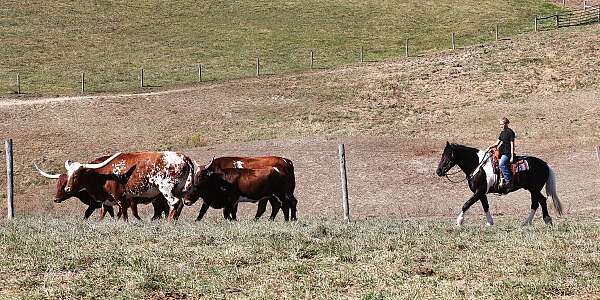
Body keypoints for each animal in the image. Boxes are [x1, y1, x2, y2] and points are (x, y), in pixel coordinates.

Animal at [63, 152, 195, 220]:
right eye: (68, 174)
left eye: (77, 174)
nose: (67, 189)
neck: (103, 175)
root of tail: (184, 157)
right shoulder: (108, 201)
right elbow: (104, 214)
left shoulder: (120, 198)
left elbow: (124, 215)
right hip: (180, 189)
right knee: (179, 204)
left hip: (166, 189)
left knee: (174, 203)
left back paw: (169, 222)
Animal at [436, 142, 564, 225]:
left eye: (447, 156)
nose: (438, 171)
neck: (477, 165)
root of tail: (545, 164)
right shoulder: (481, 193)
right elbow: (485, 206)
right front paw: (490, 223)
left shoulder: (479, 191)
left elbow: (466, 204)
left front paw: (459, 221)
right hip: (532, 189)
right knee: (537, 203)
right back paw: (528, 222)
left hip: (534, 189)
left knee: (540, 201)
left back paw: (545, 220)